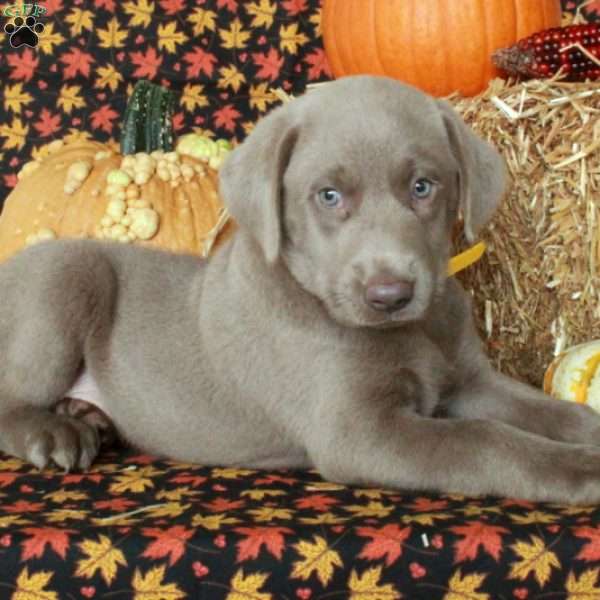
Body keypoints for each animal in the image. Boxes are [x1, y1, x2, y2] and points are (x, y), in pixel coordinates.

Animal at [1, 76, 600, 506]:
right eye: (328, 195)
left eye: (422, 186)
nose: (390, 295)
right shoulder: (360, 432)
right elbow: (484, 439)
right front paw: (580, 467)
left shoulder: (471, 380)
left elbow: (548, 411)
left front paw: (586, 432)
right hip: (67, 273)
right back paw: (55, 434)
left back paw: (90, 417)